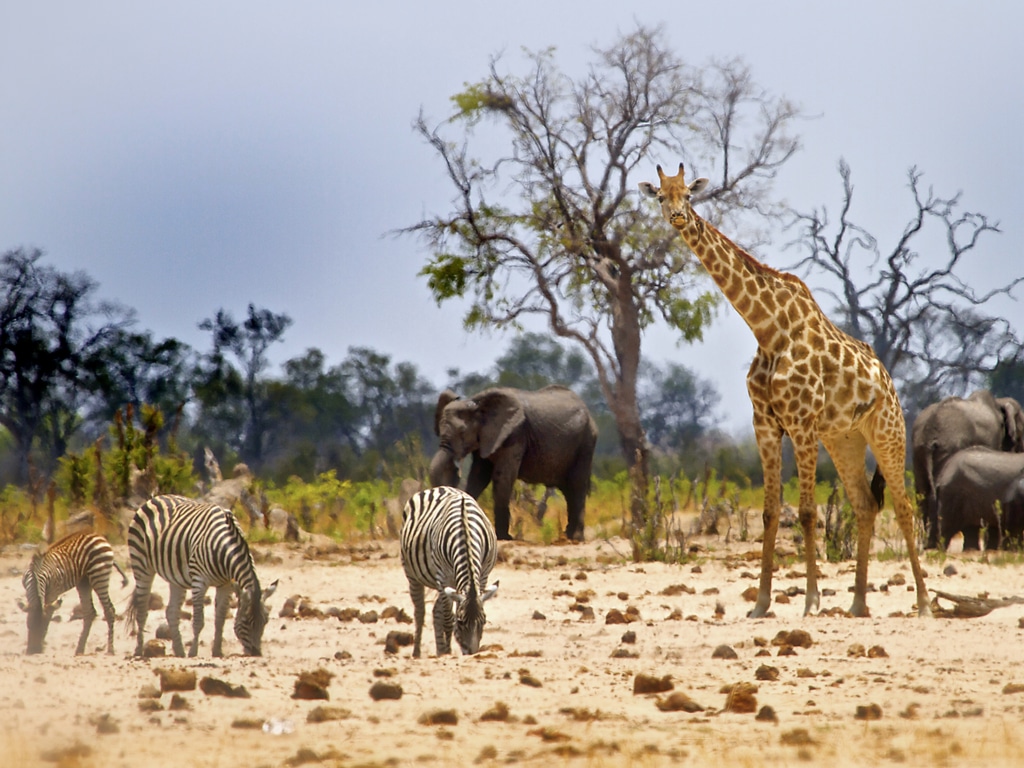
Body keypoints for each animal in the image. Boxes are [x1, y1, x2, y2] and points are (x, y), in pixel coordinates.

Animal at [125, 495, 278, 659]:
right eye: (245, 621)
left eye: (266, 621)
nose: (256, 653)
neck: (224, 547)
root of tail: (156, 497)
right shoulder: (199, 581)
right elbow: (199, 621)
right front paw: (193, 652)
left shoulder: (226, 585)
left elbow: (220, 619)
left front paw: (217, 652)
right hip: (141, 565)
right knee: (142, 610)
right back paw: (139, 651)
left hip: (176, 578)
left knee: (171, 612)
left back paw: (179, 652)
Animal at [397, 487, 497, 663]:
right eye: (461, 622)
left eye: (484, 621)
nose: (472, 654)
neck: (465, 532)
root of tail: (436, 488)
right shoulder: (444, 578)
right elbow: (448, 618)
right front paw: (448, 651)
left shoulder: (482, 576)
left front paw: (445, 650)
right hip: (412, 573)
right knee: (420, 612)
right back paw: (417, 652)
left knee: (435, 611)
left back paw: (439, 650)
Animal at [425, 385, 598, 540]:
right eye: (439, 430)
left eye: (462, 432)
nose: (456, 469)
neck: (477, 403)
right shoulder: (486, 438)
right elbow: (478, 477)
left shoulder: (515, 435)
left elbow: (502, 477)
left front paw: (504, 537)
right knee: (568, 490)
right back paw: (567, 536)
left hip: (586, 442)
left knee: (577, 484)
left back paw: (576, 538)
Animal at [634, 163, 933, 618]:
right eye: (660, 197)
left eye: (688, 194)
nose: (679, 218)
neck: (768, 329)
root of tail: (889, 382)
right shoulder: (766, 424)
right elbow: (770, 513)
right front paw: (760, 604)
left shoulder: (802, 422)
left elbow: (807, 512)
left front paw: (810, 601)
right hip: (844, 439)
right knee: (865, 505)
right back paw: (857, 604)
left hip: (887, 431)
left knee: (902, 506)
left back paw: (923, 603)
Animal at [913, 393, 1024, 548]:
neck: (999, 402)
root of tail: (929, 433)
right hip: (950, 447)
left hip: (918, 452)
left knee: (923, 496)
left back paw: (930, 545)